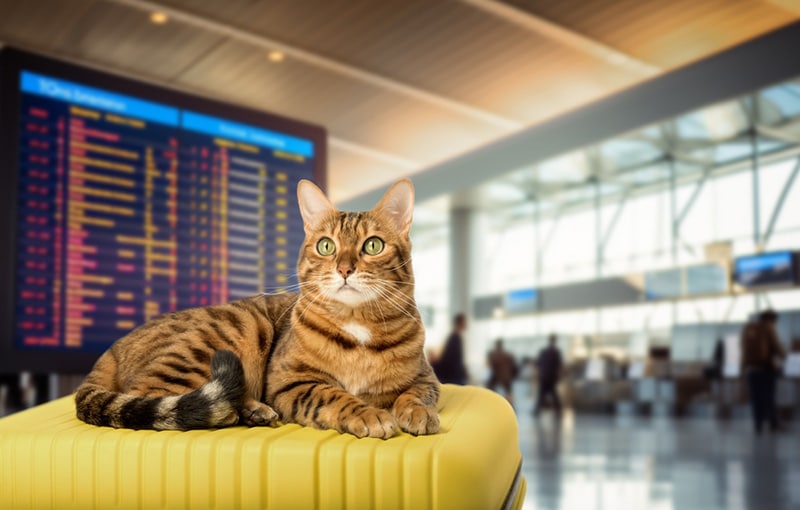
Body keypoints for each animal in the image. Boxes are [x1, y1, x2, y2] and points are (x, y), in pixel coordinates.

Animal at [73, 178, 438, 438]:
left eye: (373, 245)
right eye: (326, 246)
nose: (344, 269)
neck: (356, 322)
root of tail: (112, 349)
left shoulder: (426, 376)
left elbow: (416, 394)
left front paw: (417, 413)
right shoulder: (291, 382)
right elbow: (334, 395)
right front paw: (369, 414)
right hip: (241, 325)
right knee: (154, 399)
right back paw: (239, 410)